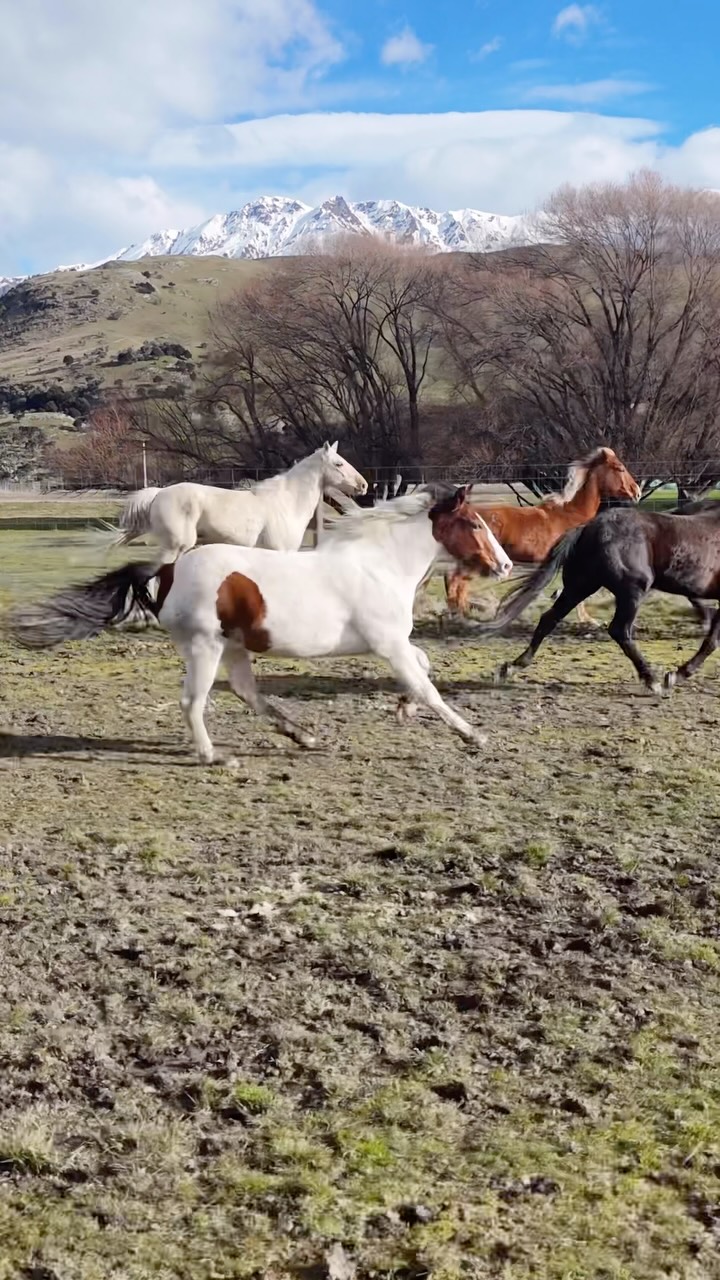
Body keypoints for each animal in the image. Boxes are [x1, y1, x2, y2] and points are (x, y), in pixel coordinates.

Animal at [9, 488, 513, 761]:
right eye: (474, 523)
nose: (504, 565)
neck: (380, 565)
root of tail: (166, 571)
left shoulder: (396, 644)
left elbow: (423, 669)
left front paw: (405, 708)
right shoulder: (389, 644)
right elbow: (429, 687)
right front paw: (474, 735)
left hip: (233, 646)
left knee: (247, 693)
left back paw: (303, 735)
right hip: (204, 646)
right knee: (194, 700)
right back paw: (213, 756)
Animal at [444, 447, 641, 626]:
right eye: (620, 468)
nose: (637, 491)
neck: (571, 515)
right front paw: (588, 620)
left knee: (456, 582)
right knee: (455, 581)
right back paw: (459, 616)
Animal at [481, 501, 720, 694]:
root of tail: (587, 528)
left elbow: (712, 640)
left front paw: (679, 674)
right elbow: (711, 641)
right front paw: (674, 676)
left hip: (579, 587)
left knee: (549, 619)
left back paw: (510, 668)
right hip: (632, 591)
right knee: (620, 630)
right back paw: (652, 680)